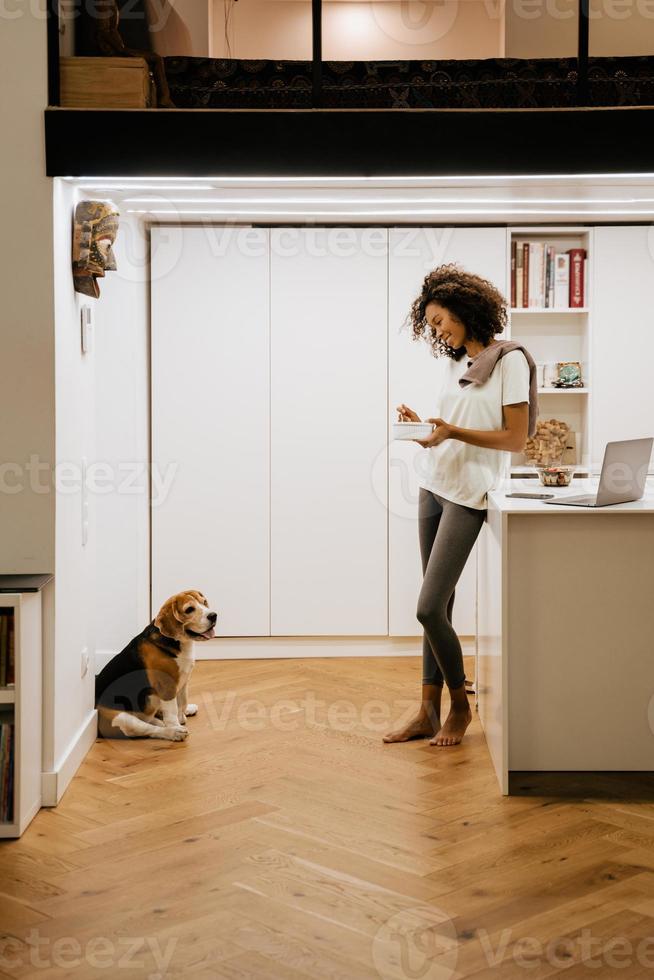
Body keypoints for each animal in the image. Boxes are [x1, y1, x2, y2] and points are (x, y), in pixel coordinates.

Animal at [96, 588, 218, 744]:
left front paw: (182, 717)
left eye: (204, 602)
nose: (213, 616)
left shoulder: (184, 680)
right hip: (122, 719)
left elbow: (182, 702)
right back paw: (173, 731)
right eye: (189, 609)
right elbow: (172, 711)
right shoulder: (167, 686)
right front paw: (176, 724)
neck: (179, 642)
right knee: (149, 729)